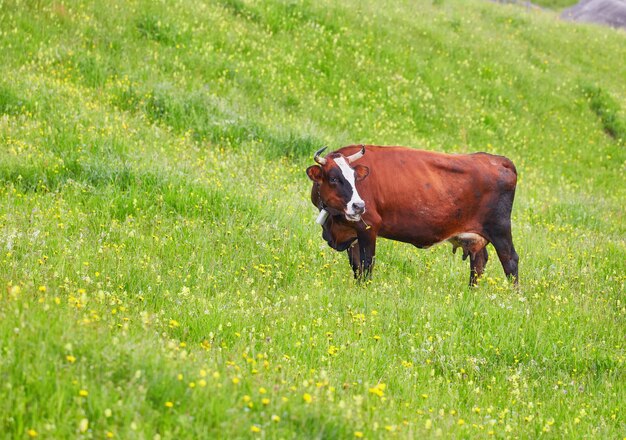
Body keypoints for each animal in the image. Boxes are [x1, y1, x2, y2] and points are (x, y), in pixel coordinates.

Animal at [306, 146, 516, 288]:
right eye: (334, 178)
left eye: (355, 178)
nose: (359, 206)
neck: (334, 223)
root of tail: (498, 159)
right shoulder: (353, 234)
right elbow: (356, 266)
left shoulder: (369, 227)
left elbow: (367, 264)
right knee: (479, 262)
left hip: (500, 229)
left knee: (510, 261)